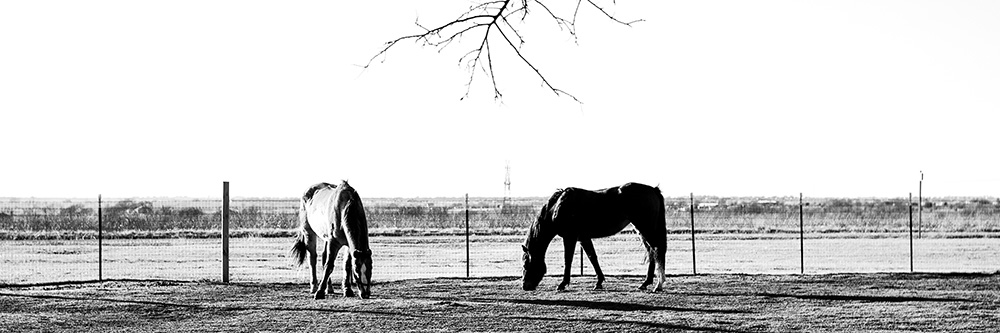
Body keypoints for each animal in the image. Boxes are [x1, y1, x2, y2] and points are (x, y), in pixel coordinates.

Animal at [520, 182, 668, 290]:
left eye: (526, 264)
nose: (525, 286)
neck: (557, 207)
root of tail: (653, 189)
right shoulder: (583, 238)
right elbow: (593, 258)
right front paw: (599, 282)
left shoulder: (570, 238)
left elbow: (568, 260)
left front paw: (562, 284)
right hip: (642, 231)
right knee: (651, 252)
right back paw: (646, 283)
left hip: (646, 229)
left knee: (656, 251)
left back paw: (658, 285)